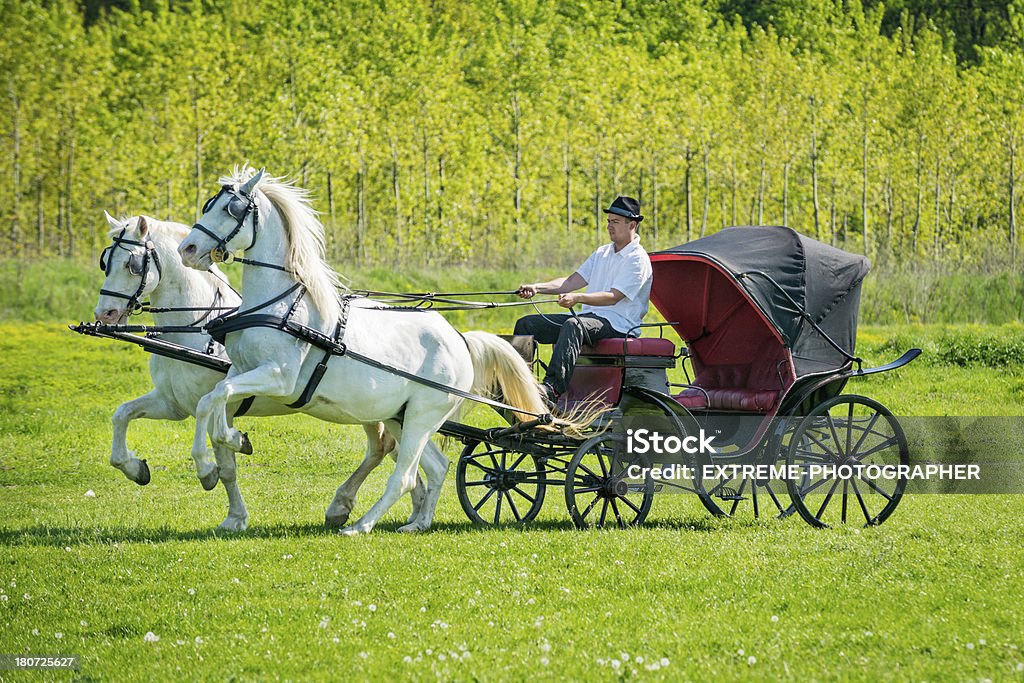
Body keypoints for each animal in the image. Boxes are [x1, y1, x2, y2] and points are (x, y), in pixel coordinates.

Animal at [94, 211, 413, 528]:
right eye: (105, 261)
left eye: (132, 264)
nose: (104, 314)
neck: (198, 328)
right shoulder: (172, 404)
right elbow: (121, 415)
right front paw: (134, 467)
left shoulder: (223, 408)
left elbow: (225, 465)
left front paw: (227, 500)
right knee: (386, 447)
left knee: (385, 447)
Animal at [178, 166, 585, 532]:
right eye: (210, 204)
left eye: (231, 208)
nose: (187, 249)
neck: (281, 307)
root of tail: (460, 339)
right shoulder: (242, 372)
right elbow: (213, 399)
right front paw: (226, 446)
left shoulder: (279, 379)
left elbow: (215, 397)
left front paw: (209, 462)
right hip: (401, 416)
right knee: (435, 467)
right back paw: (417, 523)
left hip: (422, 415)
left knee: (405, 476)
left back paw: (361, 524)